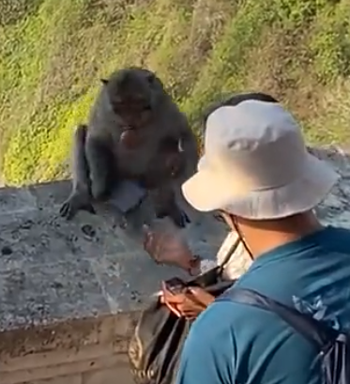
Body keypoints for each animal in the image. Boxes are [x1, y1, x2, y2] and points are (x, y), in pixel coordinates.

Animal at [58, 67, 198, 228]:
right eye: (120, 107)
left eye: (137, 103)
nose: (130, 121)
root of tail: (132, 178)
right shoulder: (103, 111)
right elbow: (96, 139)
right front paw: (99, 187)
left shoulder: (165, 107)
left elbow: (184, 136)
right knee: (80, 131)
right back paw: (80, 196)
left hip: (149, 177)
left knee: (172, 152)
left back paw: (168, 203)